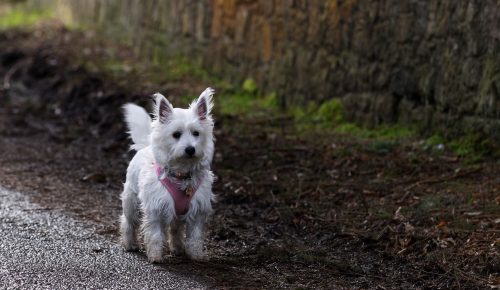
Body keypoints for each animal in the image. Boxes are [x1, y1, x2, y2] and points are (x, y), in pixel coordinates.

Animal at [121, 87, 217, 262]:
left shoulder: (198, 211)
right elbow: (155, 235)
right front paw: (156, 256)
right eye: (176, 134)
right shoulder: (155, 209)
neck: (181, 173)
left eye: (196, 133)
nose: (190, 149)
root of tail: (145, 146)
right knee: (128, 222)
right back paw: (130, 244)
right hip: (131, 201)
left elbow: (195, 236)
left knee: (176, 229)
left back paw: (177, 248)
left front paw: (196, 255)